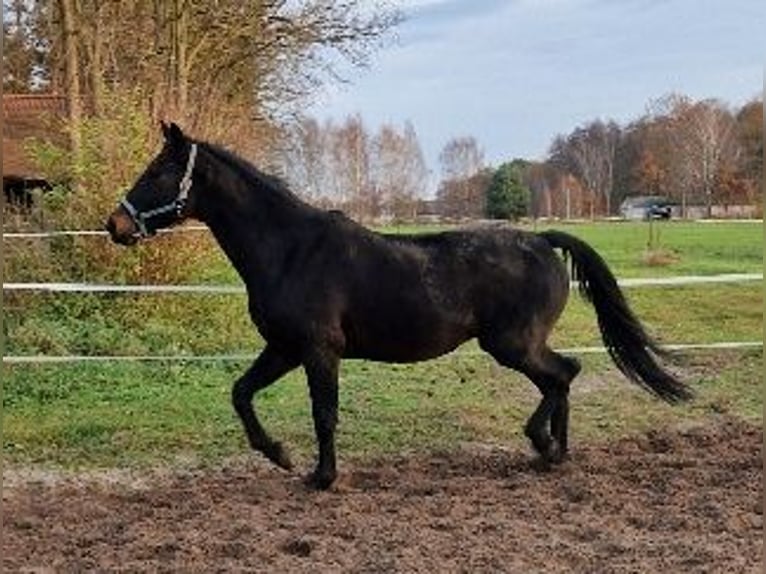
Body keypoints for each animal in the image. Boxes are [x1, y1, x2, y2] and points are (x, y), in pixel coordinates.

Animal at [106, 122, 696, 490]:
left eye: (158, 172)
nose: (116, 225)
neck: (291, 249)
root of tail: (543, 240)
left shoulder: (318, 350)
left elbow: (324, 414)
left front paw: (321, 477)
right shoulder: (284, 347)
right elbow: (241, 393)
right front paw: (280, 455)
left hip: (512, 344)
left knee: (563, 375)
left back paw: (546, 445)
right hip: (517, 344)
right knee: (563, 377)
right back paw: (555, 453)